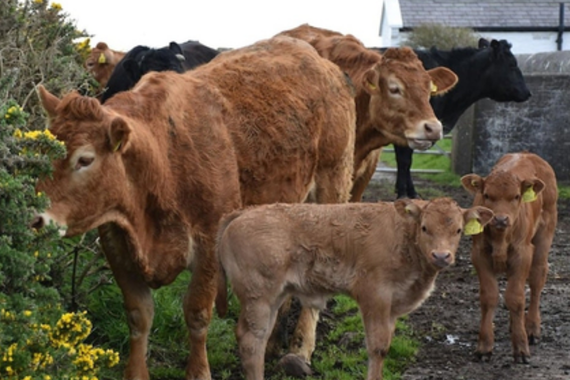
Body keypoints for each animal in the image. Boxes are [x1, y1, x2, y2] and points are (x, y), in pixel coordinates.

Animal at [34, 34, 356, 378]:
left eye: (85, 159)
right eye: (44, 148)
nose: (37, 217)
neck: (162, 159)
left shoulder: (208, 245)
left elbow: (197, 314)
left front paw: (199, 371)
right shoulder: (116, 241)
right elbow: (138, 314)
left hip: (332, 185)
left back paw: (300, 349)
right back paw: (271, 343)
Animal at [217, 197, 492, 378]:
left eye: (458, 230)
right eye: (425, 228)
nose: (441, 256)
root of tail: (243, 212)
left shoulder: (392, 306)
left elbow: (385, 346)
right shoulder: (375, 295)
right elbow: (377, 347)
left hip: (273, 297)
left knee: (259, 338)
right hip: (259, 296)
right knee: (251, 340)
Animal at [388, 38, 532, 199]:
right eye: (512, 64)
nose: (527, 92)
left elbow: (405, 159)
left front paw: (410, 192)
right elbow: (405, 160)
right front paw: (403, 194)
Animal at [462, 153, 556, 364]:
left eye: (516, 196)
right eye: (487, 195)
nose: (500, 219)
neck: (500, 239)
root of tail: (527, 153)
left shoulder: (523, 254)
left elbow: (516, 298)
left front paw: (521, 348)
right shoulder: (479, 254)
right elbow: (490, 296)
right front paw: (484, 347)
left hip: (544, 236)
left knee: (536, 279)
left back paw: (531, 328)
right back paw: (515, 326)